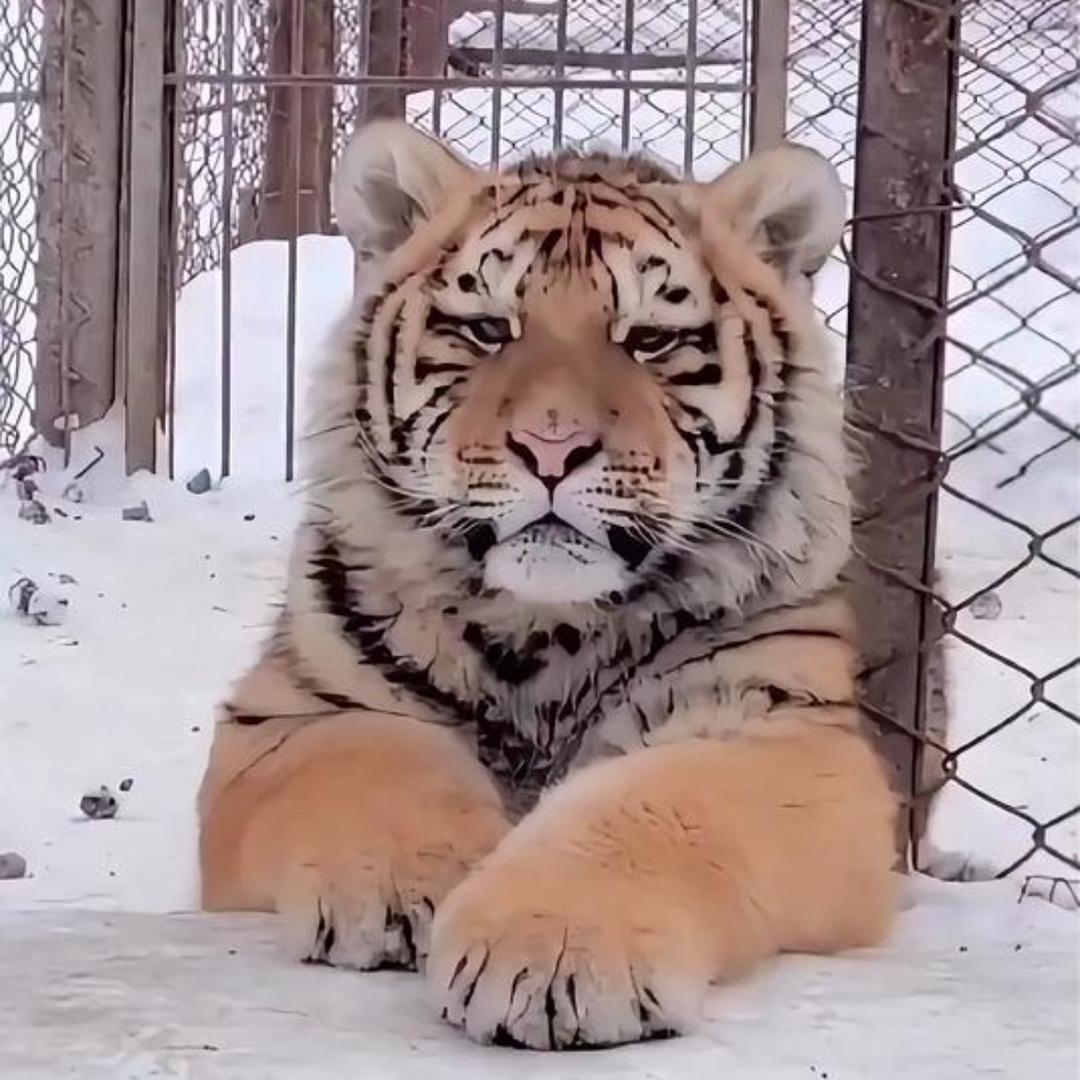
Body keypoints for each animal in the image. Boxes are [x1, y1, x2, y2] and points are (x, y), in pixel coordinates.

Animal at [197, 119, 897, 1051]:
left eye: (650, 340)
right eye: (488, 328)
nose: (552, 448)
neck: (543, 629)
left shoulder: (792, 738)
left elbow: (660, 804)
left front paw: (553, 947)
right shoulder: (287, 715)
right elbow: (372, 757)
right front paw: (409, 891)